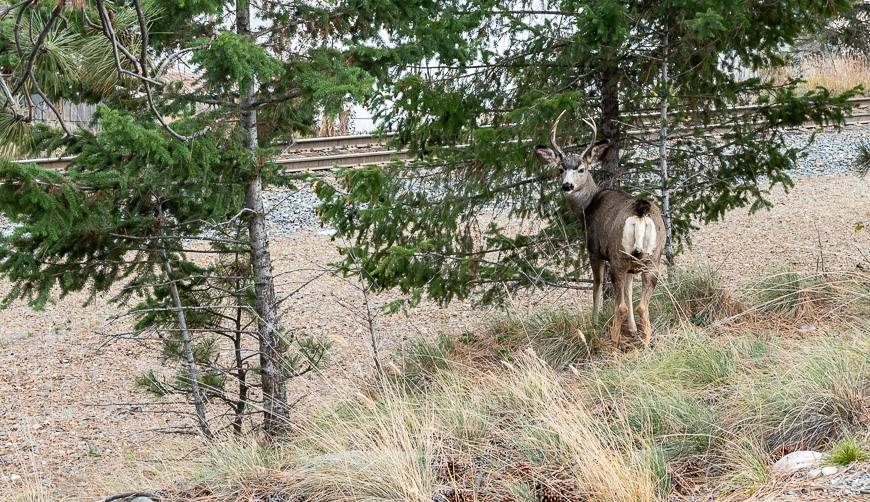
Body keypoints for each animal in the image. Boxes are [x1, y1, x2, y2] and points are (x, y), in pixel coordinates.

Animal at [532, 111, 668, 348]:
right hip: (652, 257)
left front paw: (593, 323)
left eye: (581, 169)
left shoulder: (594, 250)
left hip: (618, 255)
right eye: (561, 169)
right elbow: (629, 291)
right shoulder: (631, 266)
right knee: (642, 305)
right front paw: (632, 330)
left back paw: (613, 341)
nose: (566, 185)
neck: (587, 207)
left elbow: (596, 287)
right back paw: (645, 342)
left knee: (619, 304)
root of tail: (641, 210)